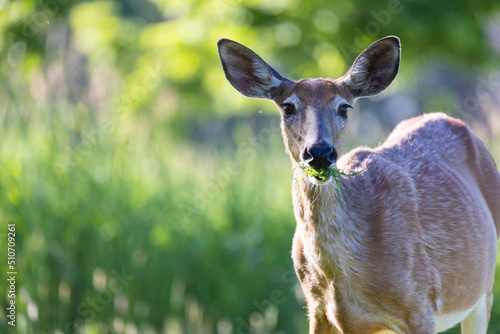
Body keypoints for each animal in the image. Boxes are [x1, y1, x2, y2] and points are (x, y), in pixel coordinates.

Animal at [218, 35, 500, 332]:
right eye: (287, 107)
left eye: (344, 107)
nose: (319, 153)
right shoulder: (317, 309)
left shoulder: (420, 304)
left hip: (482, 288)